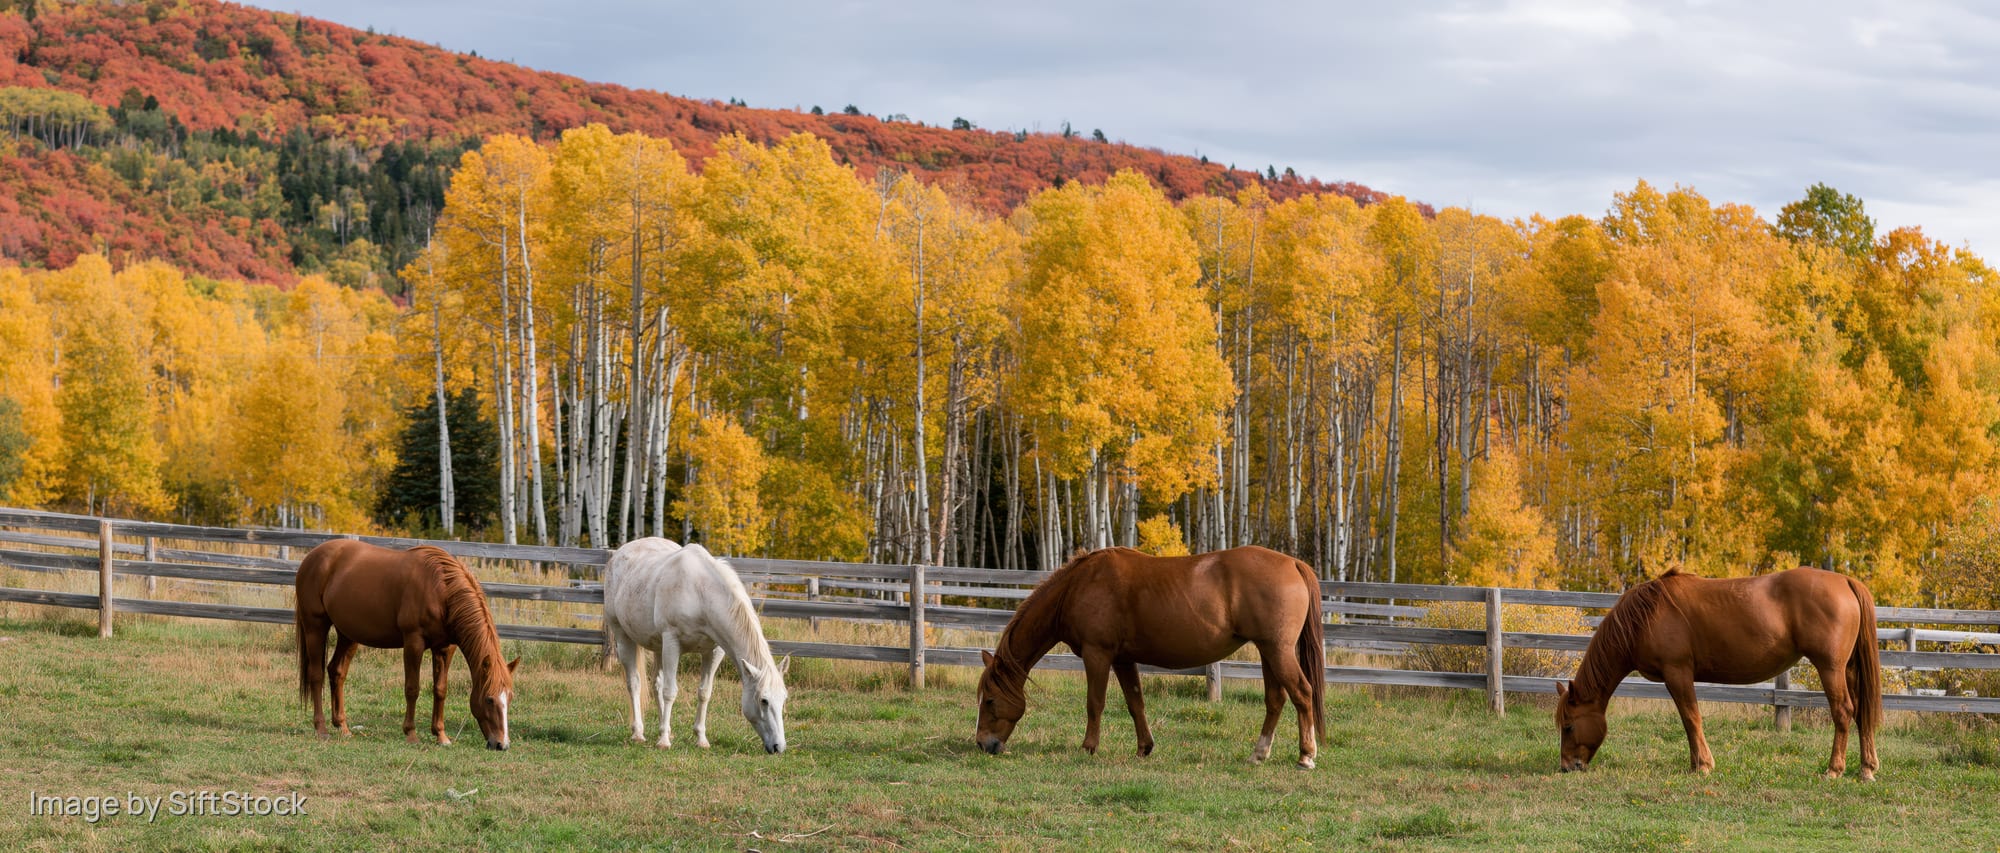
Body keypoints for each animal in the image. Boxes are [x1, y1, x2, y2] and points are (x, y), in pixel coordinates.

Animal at [294, 540, 518, 749]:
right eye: (489, 699)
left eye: (510, 698)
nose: (502, 744)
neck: (441, 590)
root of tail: (312, 556)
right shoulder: (414, 642)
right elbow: (412, 688)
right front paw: (411, 734)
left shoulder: (445, 648)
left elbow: (440, 689)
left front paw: (441, 736)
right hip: (315, 626)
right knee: (316, 675)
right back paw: (322, 729)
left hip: (347, 634)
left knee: (337, 672)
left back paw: (343, 727)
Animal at [602, 538, 789, 754]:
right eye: (763, 700)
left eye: (784, 698)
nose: (778, 746)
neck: (700, 593)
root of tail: (618, 553)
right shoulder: (672, 643)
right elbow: (670, 692)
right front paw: (663, 741)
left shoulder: (714, 651)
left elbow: (704, 692)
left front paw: (700, 739)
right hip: (623, 637)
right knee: (634, 683)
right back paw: (639, 733)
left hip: (658, 647)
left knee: (656, 684)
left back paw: (664, 729)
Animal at [974, 546, 1326, 768]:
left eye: (990, 700)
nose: (982, 744)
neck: (1077, 587)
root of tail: (1293, 563)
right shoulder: (1122, 659)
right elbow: (1136, 703)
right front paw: (1145, 747)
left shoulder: (1097, 654)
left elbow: (1095, 703)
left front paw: (1088, 747)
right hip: (1268, 652)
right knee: (1276, 700)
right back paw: (1258, 754)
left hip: (1278, 651)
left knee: (1302, 693)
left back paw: (1306, 756)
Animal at [1555, 567, 1881, 779]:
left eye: (1568, 726)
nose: (1567, 766)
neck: (1645, 617)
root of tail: (1845, 581)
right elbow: (1687, 721)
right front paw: (1695, 764)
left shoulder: (1677, 673)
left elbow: (1691, 718)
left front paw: (1703, 766)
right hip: (1848, 670)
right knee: (1861, 711)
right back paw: (1866, 769)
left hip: (1830, 669)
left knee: (1843, 711)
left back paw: (1834, 770)